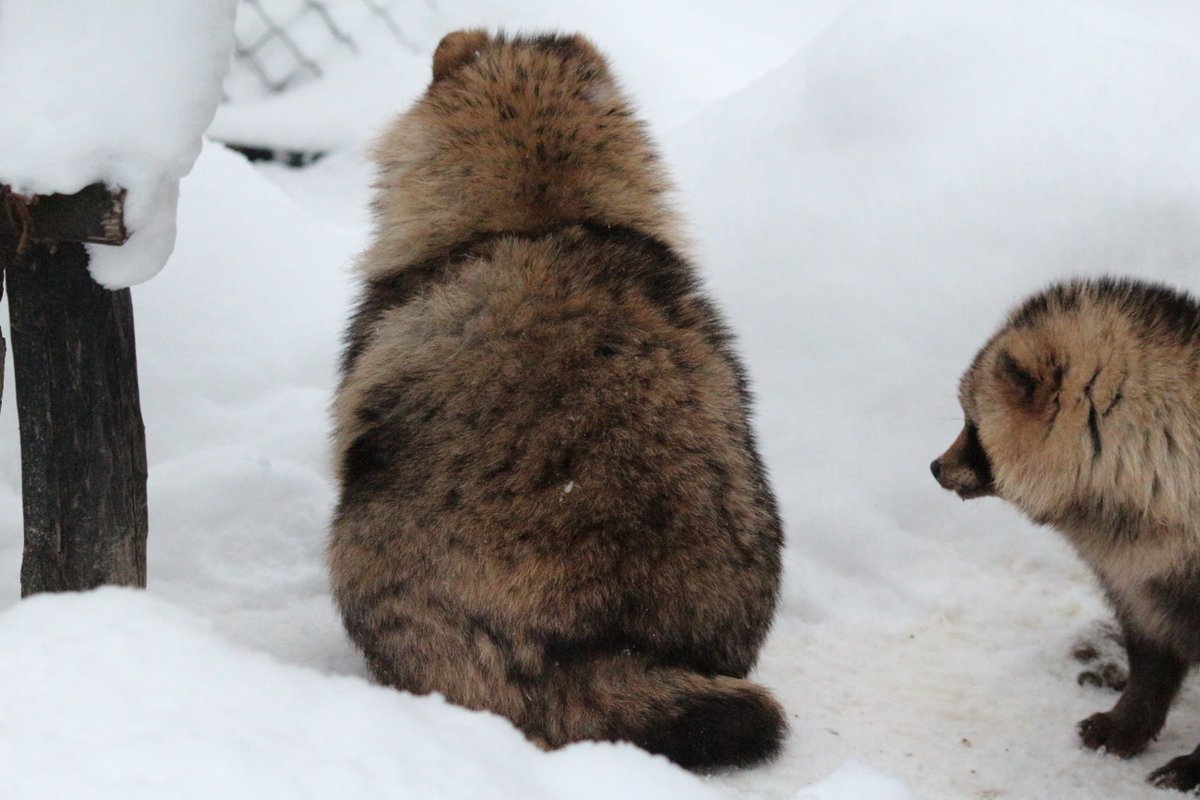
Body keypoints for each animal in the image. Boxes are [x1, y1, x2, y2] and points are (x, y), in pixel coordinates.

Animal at [936, 278, 1200, 791]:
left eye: (973, 422)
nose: (936, 467)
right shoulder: (1139, 581)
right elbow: (1151, 662)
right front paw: (1126, 726)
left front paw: (1194, 767)